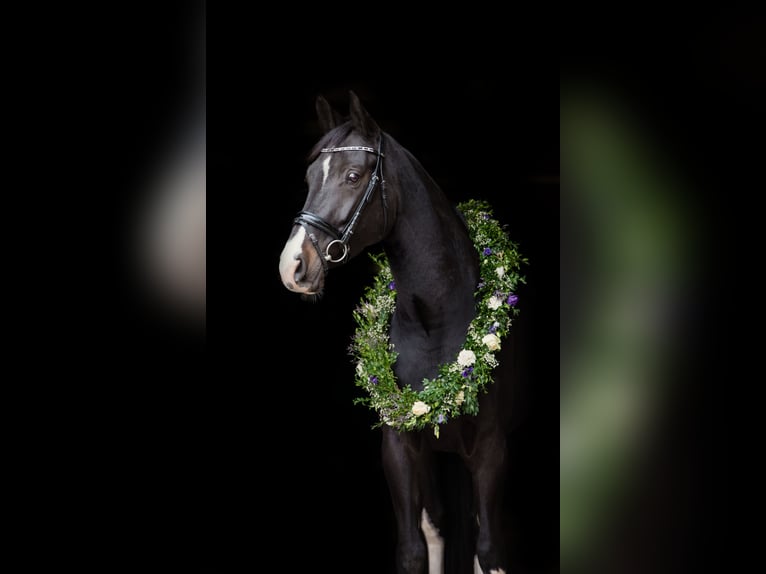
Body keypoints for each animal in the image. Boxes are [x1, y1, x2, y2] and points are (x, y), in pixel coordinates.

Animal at [278, 91, 525, 574]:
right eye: (310, 177)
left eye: (353, 176)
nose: (293, 265)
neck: (436, 321)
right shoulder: (400, 445)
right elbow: (414, 546)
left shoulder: (491, 449)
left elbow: (489, 550)